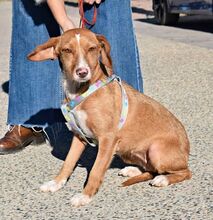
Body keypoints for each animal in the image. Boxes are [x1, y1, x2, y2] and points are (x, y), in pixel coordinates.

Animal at [27, 28, 192, 207]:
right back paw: (132, 169)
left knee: (185, 172)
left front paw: (85, 195)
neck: (82, 92)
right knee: (150, 168)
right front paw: (56, 183)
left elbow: (95, 170)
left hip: (156, 150)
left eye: (92, 49)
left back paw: (163, 179)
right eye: (67, 50)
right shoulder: (79, 137)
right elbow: (68, 163)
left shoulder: (107, 140)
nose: (82, 72)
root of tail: (186, 151)